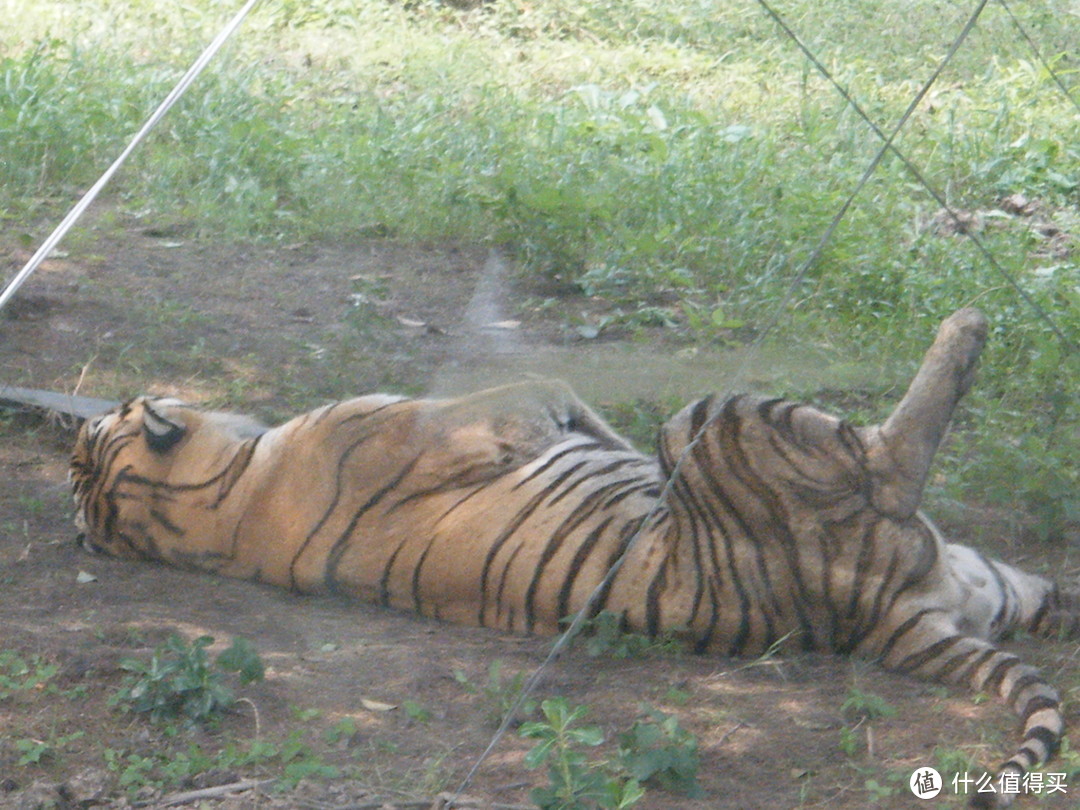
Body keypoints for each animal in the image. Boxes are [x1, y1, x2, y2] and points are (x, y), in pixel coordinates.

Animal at [73, 308, 1071, 807]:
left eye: (100, 424)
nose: (121, 395)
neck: (216, 506)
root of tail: (875, 619)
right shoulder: (465, 416)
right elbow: (542, 387)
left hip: (996, 581)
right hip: (724, 420)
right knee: (890, 453)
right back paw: (967, 325)